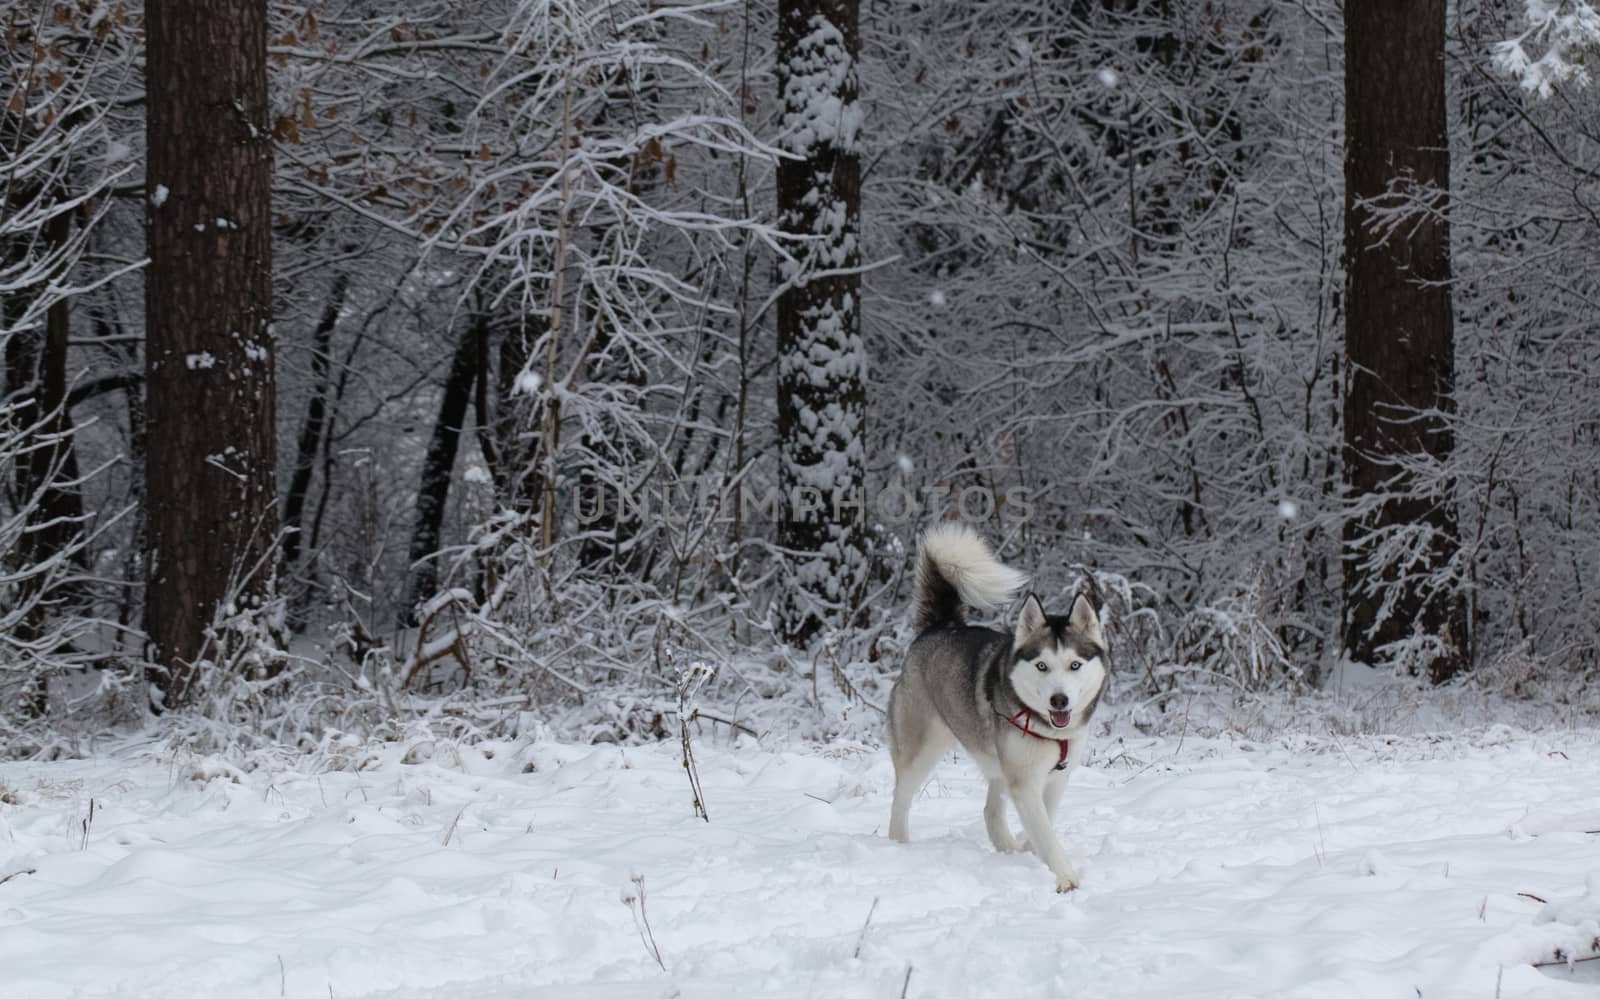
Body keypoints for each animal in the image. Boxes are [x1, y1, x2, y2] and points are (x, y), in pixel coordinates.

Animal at [883, 521, 1107, 890]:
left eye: (1074, 665)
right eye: (1042, 666)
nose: (1059, 700)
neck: (1047, 728)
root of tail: (939, 627)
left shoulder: (1055, 779)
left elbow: (1042, 825)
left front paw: (1030, 851)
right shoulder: (1025, 781)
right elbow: (1045, 833)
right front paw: (1065, 878)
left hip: (997, 757)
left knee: (990, 810)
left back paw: (1007, 846)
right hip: (922, 747)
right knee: (900, 798)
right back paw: (897, 844)